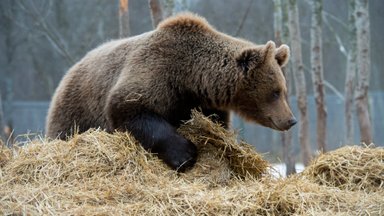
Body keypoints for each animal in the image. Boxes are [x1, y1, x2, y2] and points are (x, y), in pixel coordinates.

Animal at [45, 13, 296, 172]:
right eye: (275, 92)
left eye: (283, 90)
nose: (290, 120)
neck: (192, 78)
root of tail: (69, 71)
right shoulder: (156, 74)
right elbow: (130, 109)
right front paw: (185, 154)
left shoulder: (202, 102)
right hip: (76, 110)